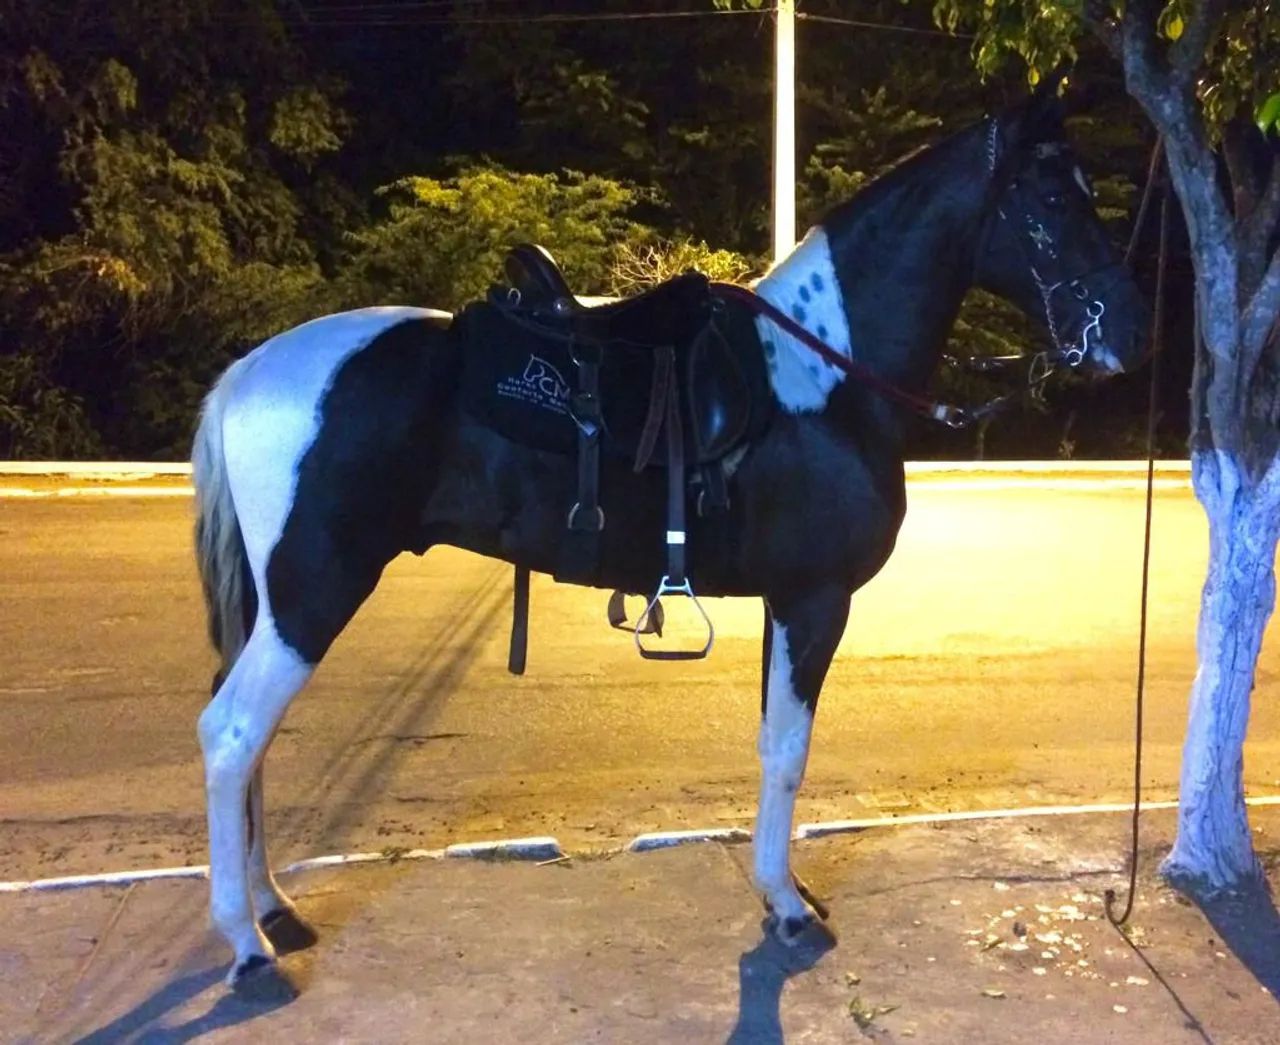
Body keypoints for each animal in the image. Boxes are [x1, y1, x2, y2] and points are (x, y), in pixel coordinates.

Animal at [191, 83, 1148, 991]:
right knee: (234, 732)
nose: (1129, 331)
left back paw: (273, 907)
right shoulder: (814, 602)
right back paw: (247, 945)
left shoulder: (788, 605)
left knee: (251, 738)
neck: (825, 373)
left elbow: (772, 746)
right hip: (315, 593)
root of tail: (248, 372)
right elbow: (787, 752)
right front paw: (787, 905)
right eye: (1053, 196)